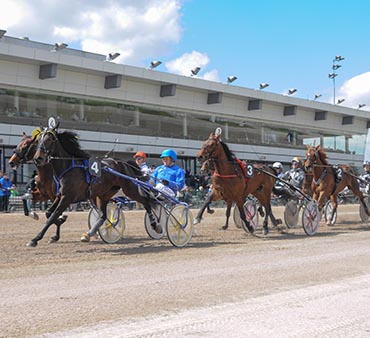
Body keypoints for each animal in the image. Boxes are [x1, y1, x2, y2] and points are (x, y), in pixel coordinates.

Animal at [29, 124, 158, 246]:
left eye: (49, 139)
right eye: (38, 140)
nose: (38, 158)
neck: (69, 168)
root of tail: (123, 162)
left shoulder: (67, 198)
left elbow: (52, 217)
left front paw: (35, 239)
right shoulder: (60, 195)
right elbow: (49, 213)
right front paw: (58, 226)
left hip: (129, 189)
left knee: (146, 202)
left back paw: (155, 225)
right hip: (104, 194)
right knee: (104, 215)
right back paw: (91, 232)